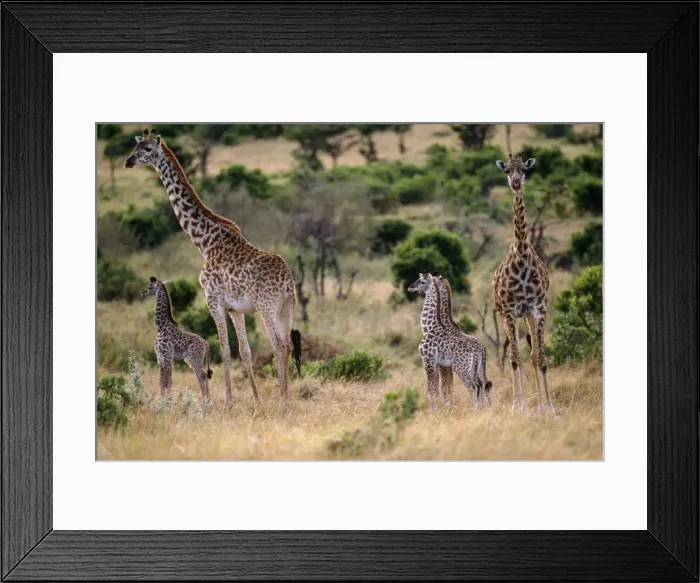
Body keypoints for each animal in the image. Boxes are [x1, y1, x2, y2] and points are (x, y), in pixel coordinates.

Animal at [125, 129, 302, 406]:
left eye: (147, 150)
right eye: (135, 147)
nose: (128, 161)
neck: (203, 241)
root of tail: (286, 280)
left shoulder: (213, 300)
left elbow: (225, 349)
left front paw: (228, 402)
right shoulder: (236, 309)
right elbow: (244, 351)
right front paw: (256, 399)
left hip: (267, 306)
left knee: (279, 344)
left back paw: (283, 400)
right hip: (287, 306)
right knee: (288, 344)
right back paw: (287, 397)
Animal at [408, 273, 487, 409]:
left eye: (422, 281)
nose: (410, 287)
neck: (431, 325)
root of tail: (480, 350)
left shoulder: (429, 361)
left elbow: (434, 389)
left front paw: (434, 410)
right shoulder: (439, 364)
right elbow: (441, 388)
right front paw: (443, 408)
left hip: (460, 368)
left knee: (473, 386)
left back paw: (474, 409)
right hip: (478, 368)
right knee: (482, 385)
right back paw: (484, 408)